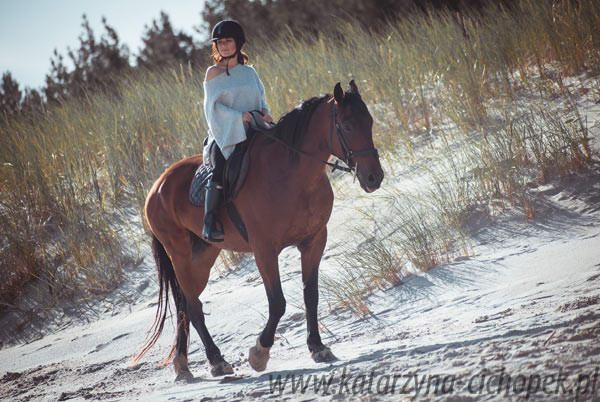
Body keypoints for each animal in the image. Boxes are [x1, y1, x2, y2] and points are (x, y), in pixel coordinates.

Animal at [137, 78, 384, 380]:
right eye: (347, 126)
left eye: (369, 121)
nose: (374, 177)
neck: (291, 175)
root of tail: (157, 185)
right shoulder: (264, 250)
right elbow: (277, 302)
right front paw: (259, 353)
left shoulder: (314, 241)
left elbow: (310, 294)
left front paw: (317, 347)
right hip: (180, 254)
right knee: (193, 307)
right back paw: (216, 360)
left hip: (202, 257)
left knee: (185, 302)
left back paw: (183, 364)